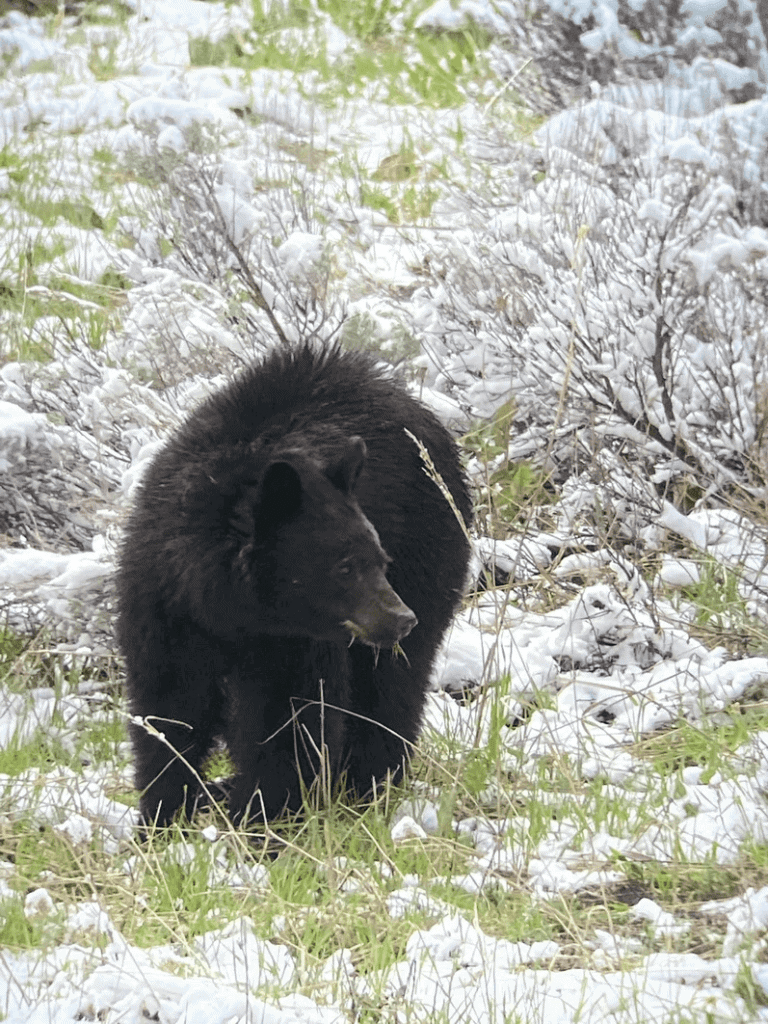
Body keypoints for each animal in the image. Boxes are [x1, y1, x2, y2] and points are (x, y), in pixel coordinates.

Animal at [116, 343, 472, 828]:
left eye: (378, 559)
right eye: (344, 567)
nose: (401, 618)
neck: (230, 611)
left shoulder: (294, 641)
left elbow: (286, 716)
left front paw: (266, 816)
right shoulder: (164, 611)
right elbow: (170, 706)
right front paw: (164, 814)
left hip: (429, 550)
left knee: (392, 687)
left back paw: (368, 782)